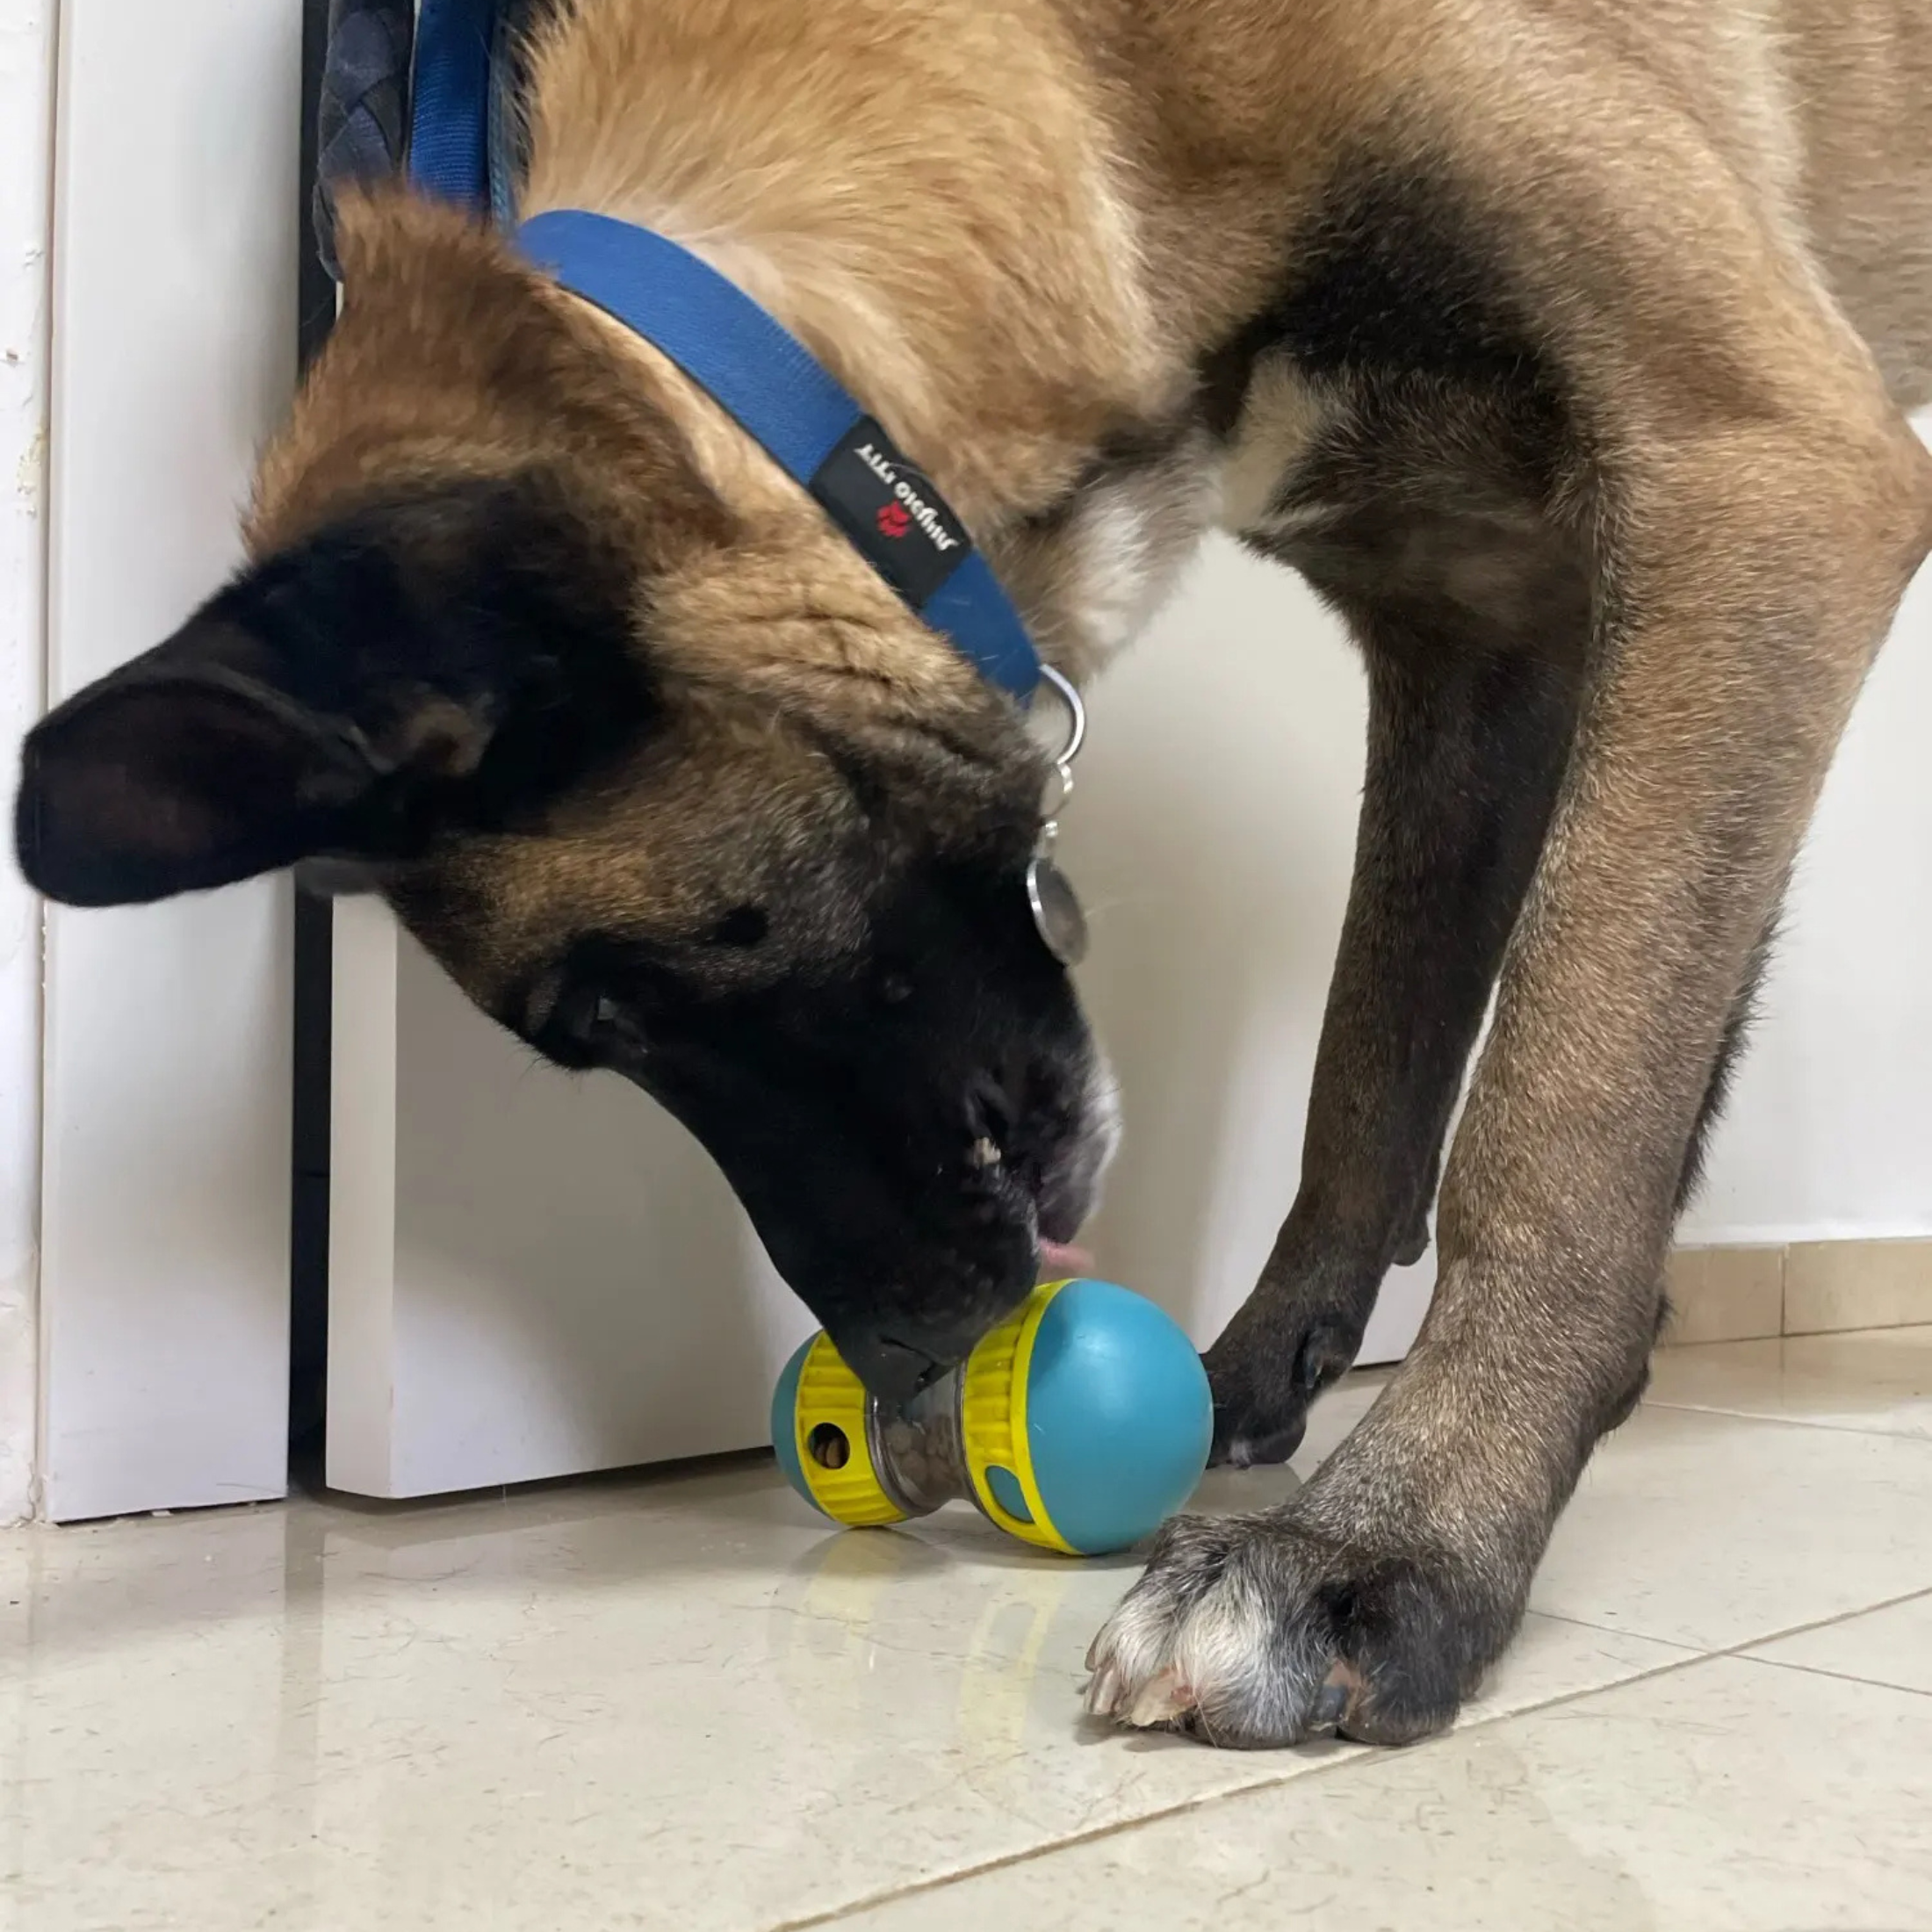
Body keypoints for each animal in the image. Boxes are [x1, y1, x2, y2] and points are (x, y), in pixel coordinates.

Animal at [15, 0, 1932, 1754]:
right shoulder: (1488, 633)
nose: (911, 1368)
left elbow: (1554, 1119)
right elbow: (1373, 1069)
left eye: (606, 1010)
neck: (1107, 87)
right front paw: (1279, 1375)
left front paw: (1395, 1546)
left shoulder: (1753, 474)